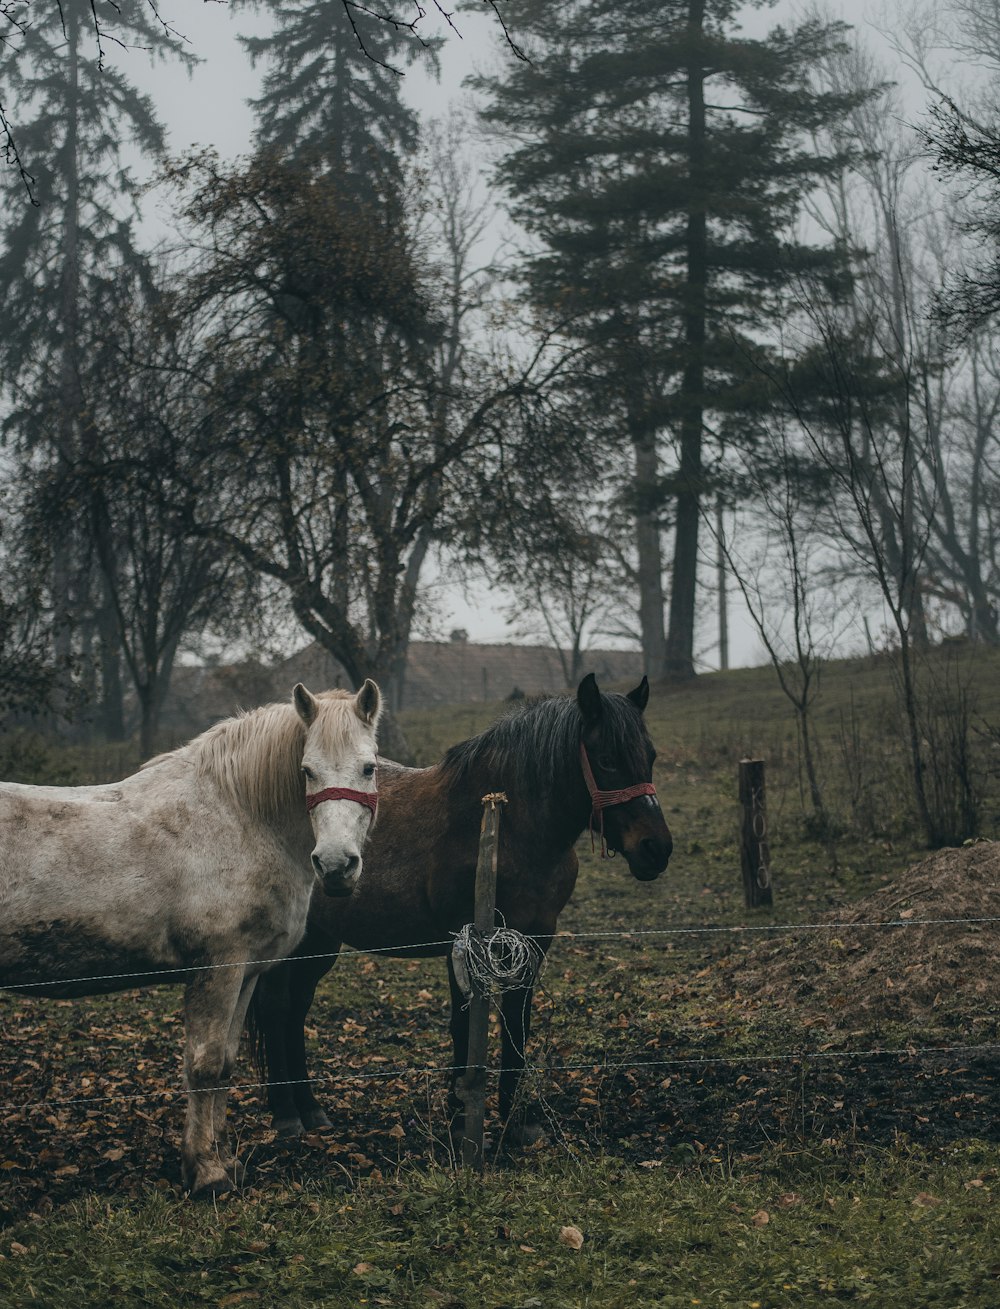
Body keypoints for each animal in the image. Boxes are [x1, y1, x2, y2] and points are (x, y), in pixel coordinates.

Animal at [0, 685, 382, 1199]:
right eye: (307, 770)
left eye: (369, 767)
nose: (337, 865)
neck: (237, 817)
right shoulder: (216, 967)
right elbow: (203, 1064)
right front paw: (205, 1172)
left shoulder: (246, 972)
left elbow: (225, 1065)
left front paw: (224, 1160)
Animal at [248, 675, 670, 1146]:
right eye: (607, 759)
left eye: (650, 757)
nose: (656, 849)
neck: (504, 828)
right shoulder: (465, 940)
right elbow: (461, 1025)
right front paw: (458, 1118)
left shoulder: (534, 940)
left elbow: (517, 1025)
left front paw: (516, 1119)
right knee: (277, 1006)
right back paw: (287, 1115)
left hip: (320, 942)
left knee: (296, 1008)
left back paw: (311, 1108)